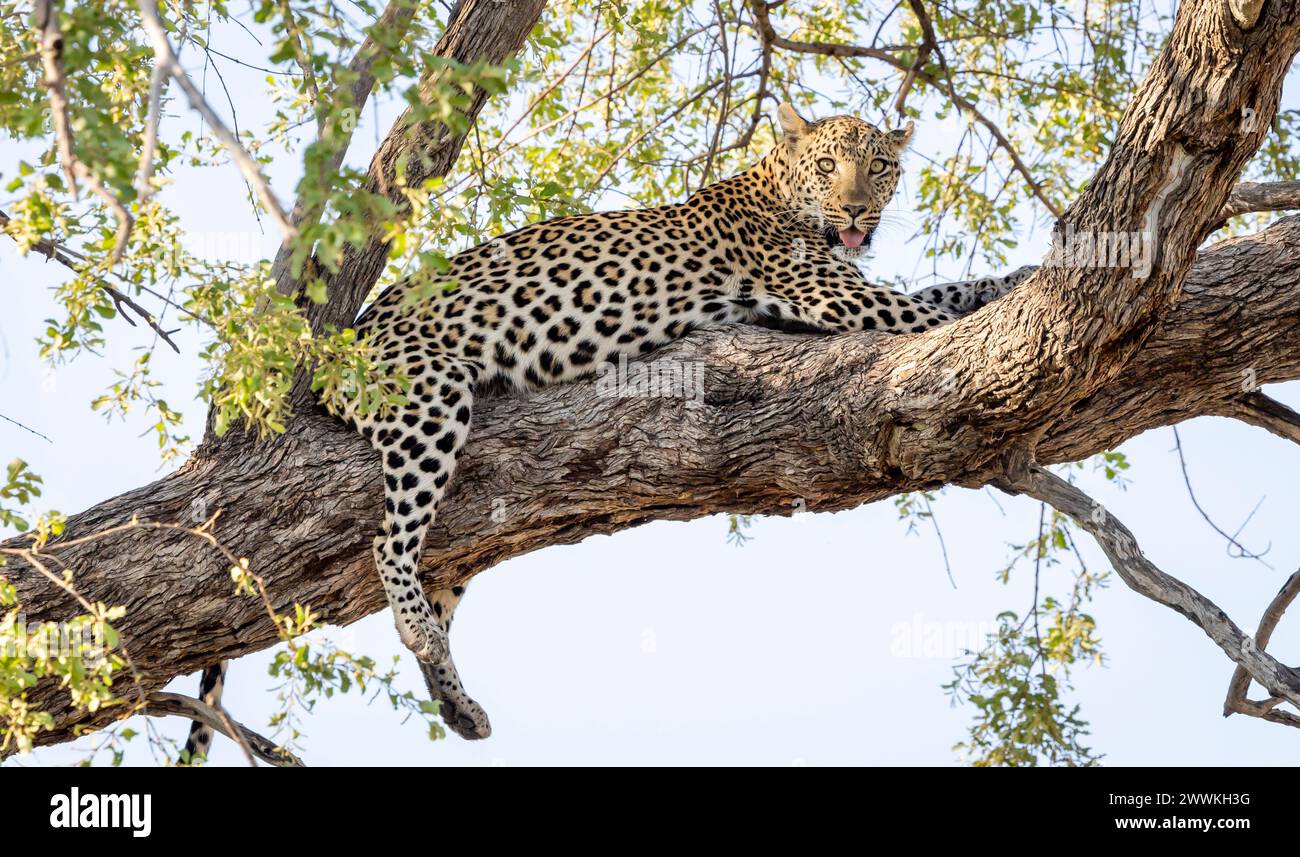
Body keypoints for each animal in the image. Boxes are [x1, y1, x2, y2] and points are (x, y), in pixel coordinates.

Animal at [184, 103, 1033, 755]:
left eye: (880, 168)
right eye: (829, 166)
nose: (857, 210)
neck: (779, 192)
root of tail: (346, 336)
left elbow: (955, 290)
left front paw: (1024, 276)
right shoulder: (838, 297)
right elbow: (933, 309)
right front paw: (1021, 284)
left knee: (432, 572)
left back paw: (458, 702)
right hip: (429, 396)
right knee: (389, 544)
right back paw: (427, 641)